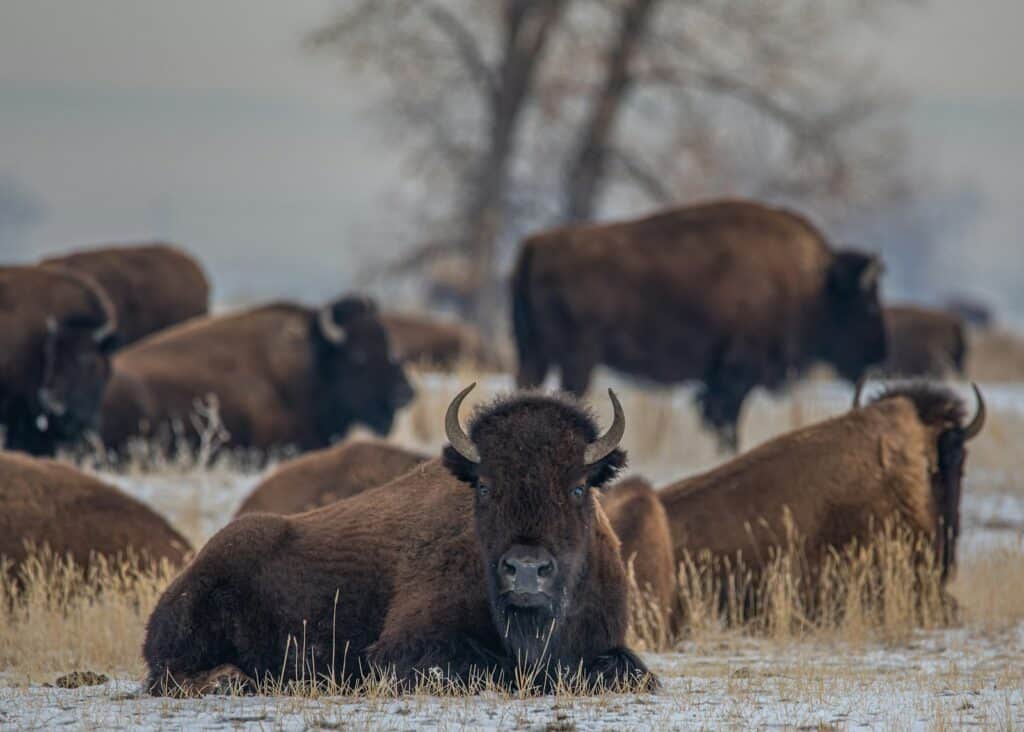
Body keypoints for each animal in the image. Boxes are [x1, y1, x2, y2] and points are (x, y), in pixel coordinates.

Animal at [513, 199, 886, 450]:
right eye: (868, 305)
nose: (880, 355)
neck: (811, 284)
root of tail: (538, 244)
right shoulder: (737, 374)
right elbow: (725, 422)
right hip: (578, 358)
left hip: (534, 354)